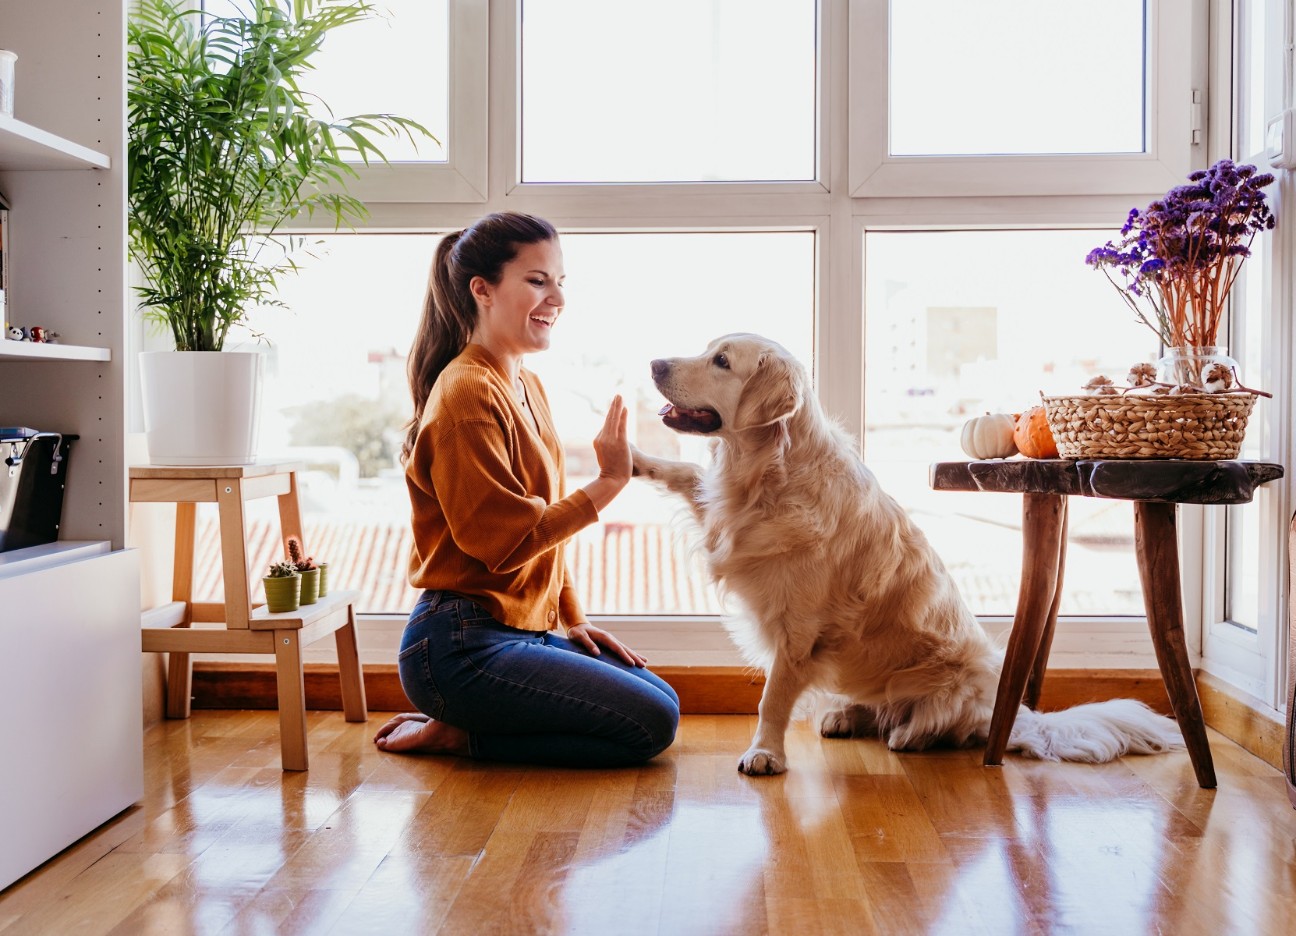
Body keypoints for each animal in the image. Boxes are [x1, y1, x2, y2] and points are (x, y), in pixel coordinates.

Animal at [629, 334, 1187, 772]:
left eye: (722, 361)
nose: (653, 363)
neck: (767, 473)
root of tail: (1009, 714)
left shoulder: (798, 630)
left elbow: (772, 699)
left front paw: (765, 753)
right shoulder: (723, 515)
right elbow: (685, 474)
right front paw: (631, 457)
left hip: (954, 678)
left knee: (942, 726)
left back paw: (909, 734)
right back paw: (845, 716)